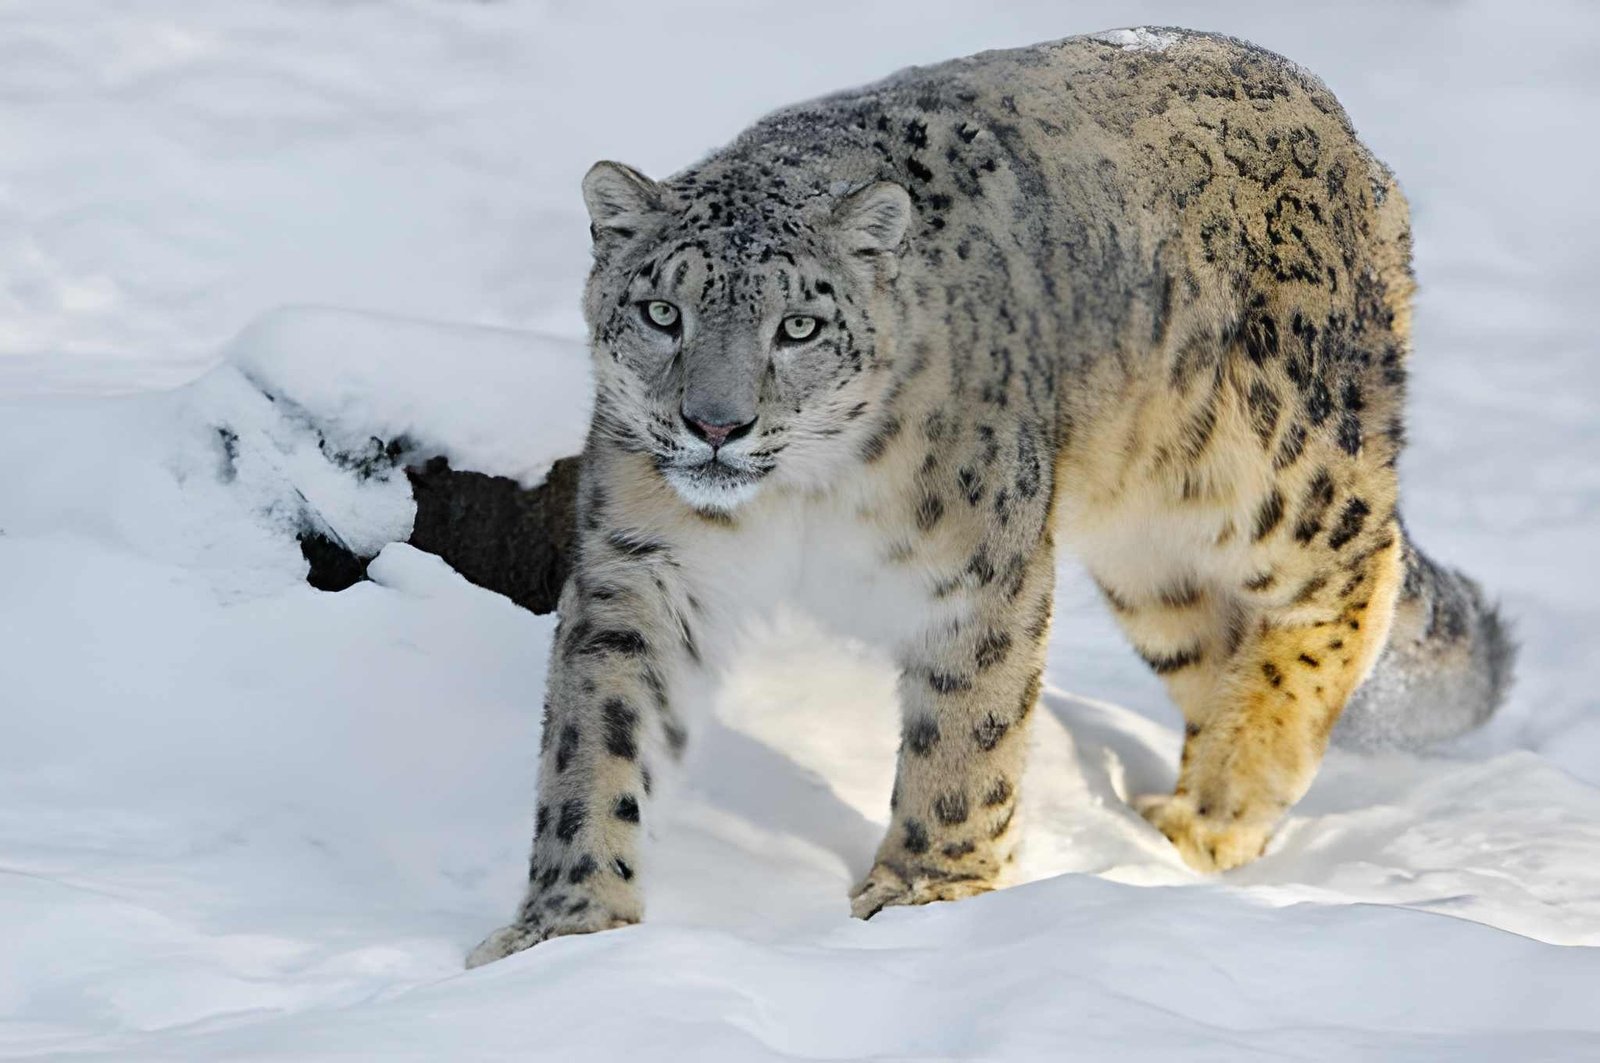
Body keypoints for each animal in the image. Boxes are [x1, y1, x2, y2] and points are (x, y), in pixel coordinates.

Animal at [466, 26, 1513, 966]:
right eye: (661, 312)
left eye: (798, 326)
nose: (713, 424)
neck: (796, 502)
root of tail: (1349, 137)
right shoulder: (640, 568)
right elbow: (596, 738)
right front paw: (567, 925)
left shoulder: (977, 571)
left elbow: (965, 734)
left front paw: (927, 888)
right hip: (1146, 555)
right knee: (1214, 643)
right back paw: (1177, 820)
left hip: (1278, 465)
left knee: (1352, 573)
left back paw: (1224, 805)